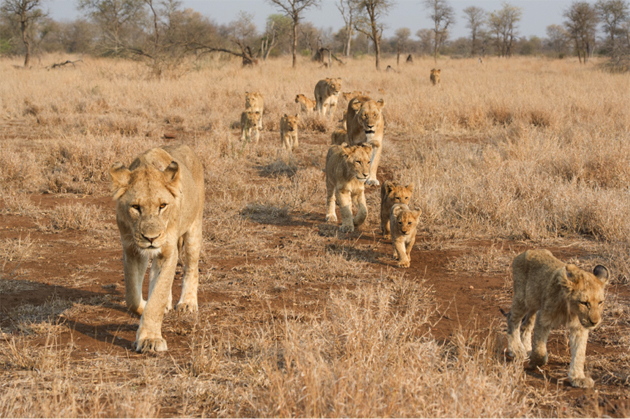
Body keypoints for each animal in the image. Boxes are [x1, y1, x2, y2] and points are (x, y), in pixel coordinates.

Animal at [110, 145, 205, 354]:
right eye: (135, 207)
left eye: (163, 206)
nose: (151, 238)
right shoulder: (131, 249)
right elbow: (132, 296)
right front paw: (144, 306)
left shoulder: (168, 252)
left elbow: (157, 296)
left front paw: (150, 339)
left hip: (194, 227)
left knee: (191, 268)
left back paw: (187, 303)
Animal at [508, 249, 612, 390]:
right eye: (584, 303)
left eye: (600, 302)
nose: (594, 322)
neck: (571, 310)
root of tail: (526, 251)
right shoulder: (544, 318)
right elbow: (540, 349)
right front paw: (535, 362)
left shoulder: (579, 327)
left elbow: (579, 353)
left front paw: (578, 378)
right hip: (523, 299)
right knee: (512, 320)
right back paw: (516, 350)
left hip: (534, 302)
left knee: (526, 325)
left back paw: (527, 349)